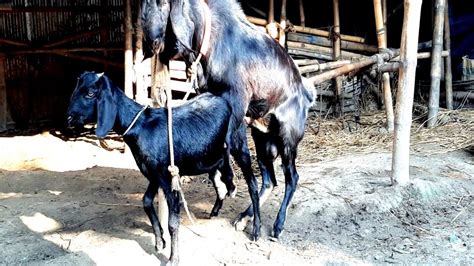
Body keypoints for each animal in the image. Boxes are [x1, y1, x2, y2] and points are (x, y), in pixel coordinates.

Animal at [66, 71, 260, 264]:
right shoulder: (155, 174)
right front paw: (160, 241)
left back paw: (255, 229)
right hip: (210, 153)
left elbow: (172, 223)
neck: (141, 126)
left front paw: (173, 258)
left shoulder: (168, 178)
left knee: (252, 184)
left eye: (90, 93)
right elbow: (146, 201)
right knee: (221, 168)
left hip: (239, 143)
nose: (69, 117)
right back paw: (224, 195)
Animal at [143, 0, 316, 240]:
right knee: (270, 180)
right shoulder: (212, 97)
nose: (151, 42)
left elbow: (225, 144)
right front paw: (221, 189)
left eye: (164, 5)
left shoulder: (237, 101)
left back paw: (278, 225)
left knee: (292, 177)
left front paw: (229, 183)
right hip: (263, 138)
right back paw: (244, 218)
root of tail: (306, 94)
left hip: (288, 137)